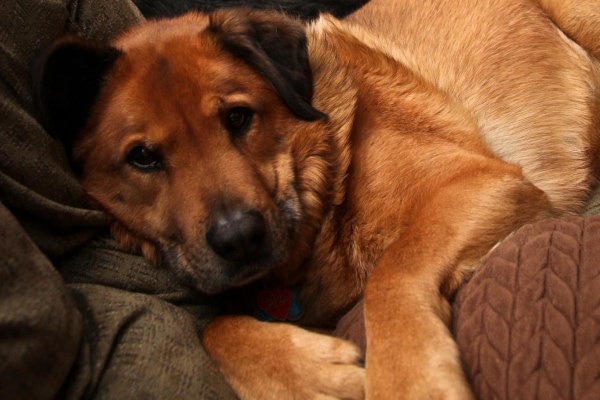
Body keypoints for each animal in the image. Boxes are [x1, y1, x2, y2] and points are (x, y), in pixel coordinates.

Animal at [34, 0, 600, 398]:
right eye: (143, 158)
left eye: (238, 117)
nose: (240, 239)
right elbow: (213, 327)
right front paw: (302, 374)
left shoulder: (478, 180)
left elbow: (390, 275)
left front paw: (413, 382)